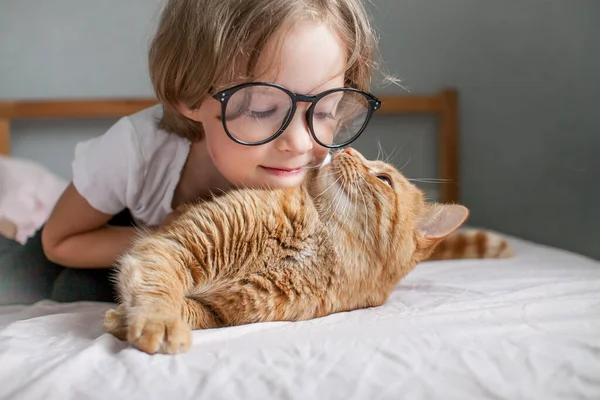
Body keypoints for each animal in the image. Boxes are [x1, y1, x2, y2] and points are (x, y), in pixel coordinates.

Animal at [103, 148, 468, 354]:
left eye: (383, 179)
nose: (348, 148)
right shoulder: (173, 246)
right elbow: (160, 290)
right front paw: (158, 321)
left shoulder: (221, 314)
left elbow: (189, 310)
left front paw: (125, 319)